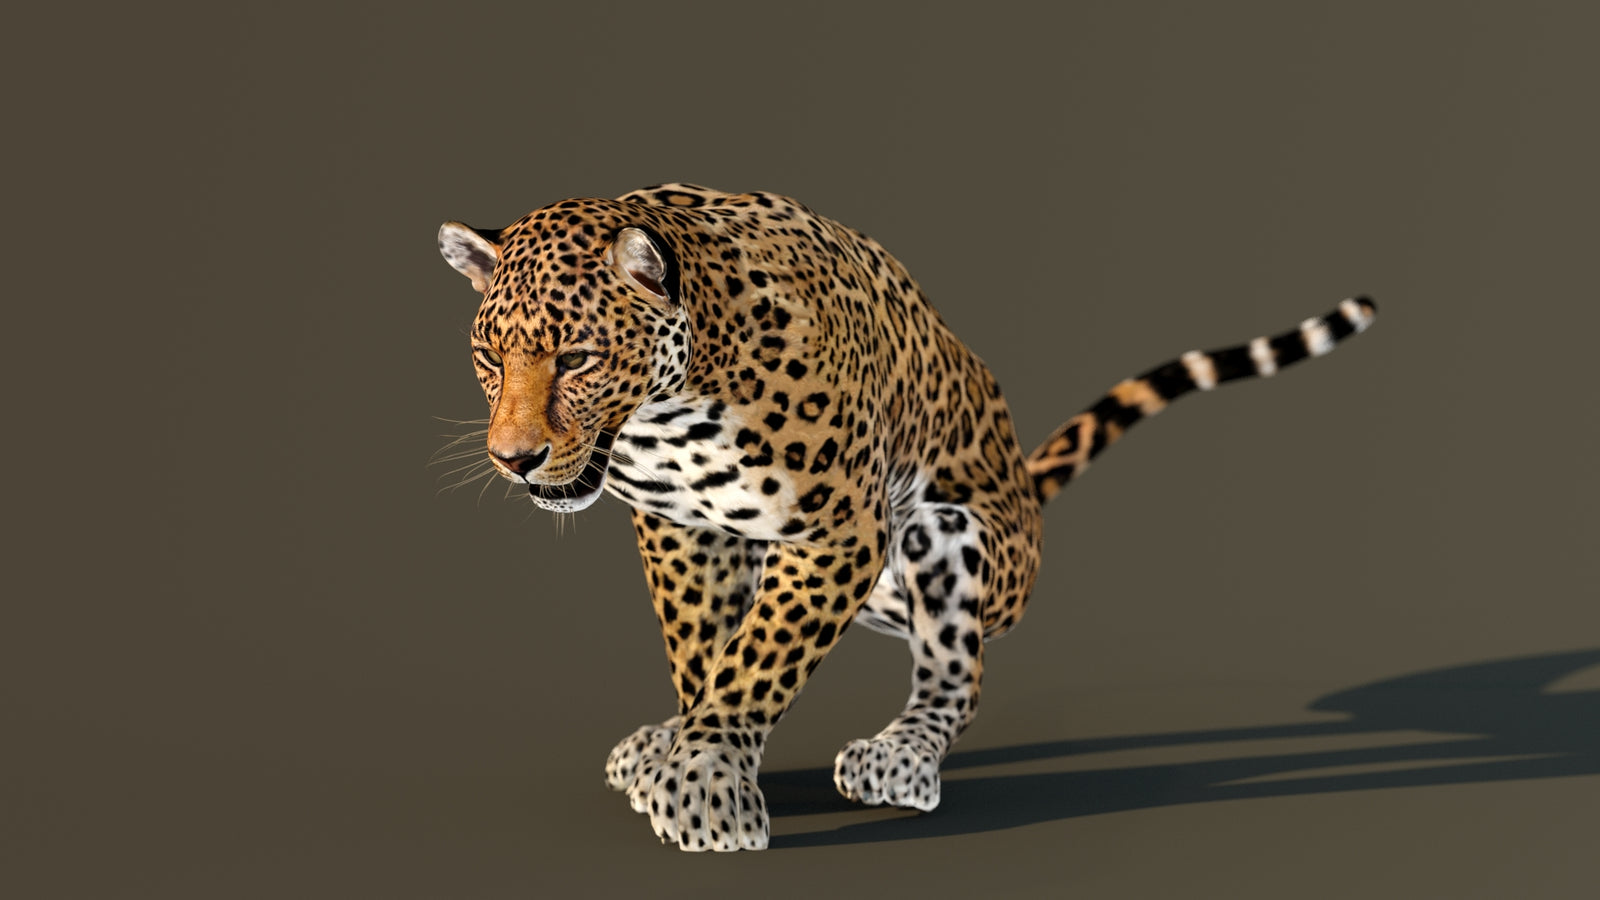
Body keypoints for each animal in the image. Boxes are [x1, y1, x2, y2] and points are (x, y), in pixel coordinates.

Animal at [436, 184, 1377, 851]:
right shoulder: (685, 530)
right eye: (489, 356)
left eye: (577, 358)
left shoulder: (840, 530)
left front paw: (703, 777)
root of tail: (1026, 498)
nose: (513, 458)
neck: (670, 410)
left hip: (944, 535)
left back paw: (902, 756)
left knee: (958, 672)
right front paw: (688, 745)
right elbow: (702, 648)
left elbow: (758, 656)